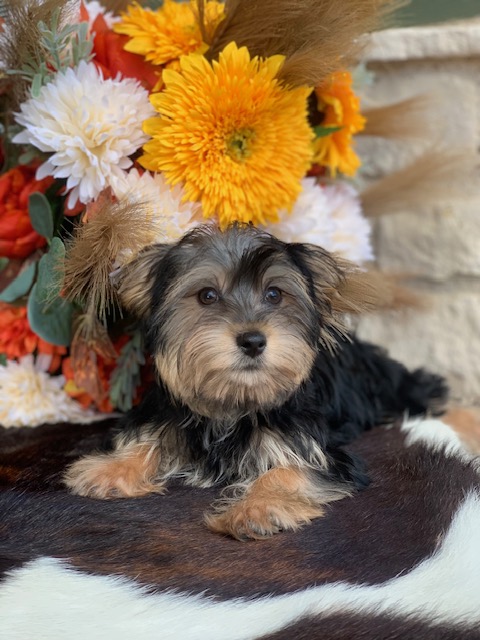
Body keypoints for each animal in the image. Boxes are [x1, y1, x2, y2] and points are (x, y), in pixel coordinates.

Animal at [63, 225, 446, 540]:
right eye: (207, 295)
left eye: (274, 295)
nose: (252, 340)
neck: (234, 403)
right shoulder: (169, 415)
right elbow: (150, 440)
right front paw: (109, 469)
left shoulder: (320, 452)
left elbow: (290, 471)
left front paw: (256, 510)